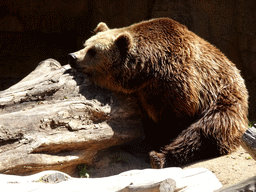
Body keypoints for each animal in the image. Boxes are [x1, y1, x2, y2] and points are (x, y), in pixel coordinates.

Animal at [68, 17, 248, 168]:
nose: (72, 56)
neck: (146, 70)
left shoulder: (175, 82)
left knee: (206, 130)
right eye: (85, 44)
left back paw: (159, 157)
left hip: (223, 100)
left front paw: (160, 139)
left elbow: (175, 117)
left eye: (93, 51)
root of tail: (238, 75)